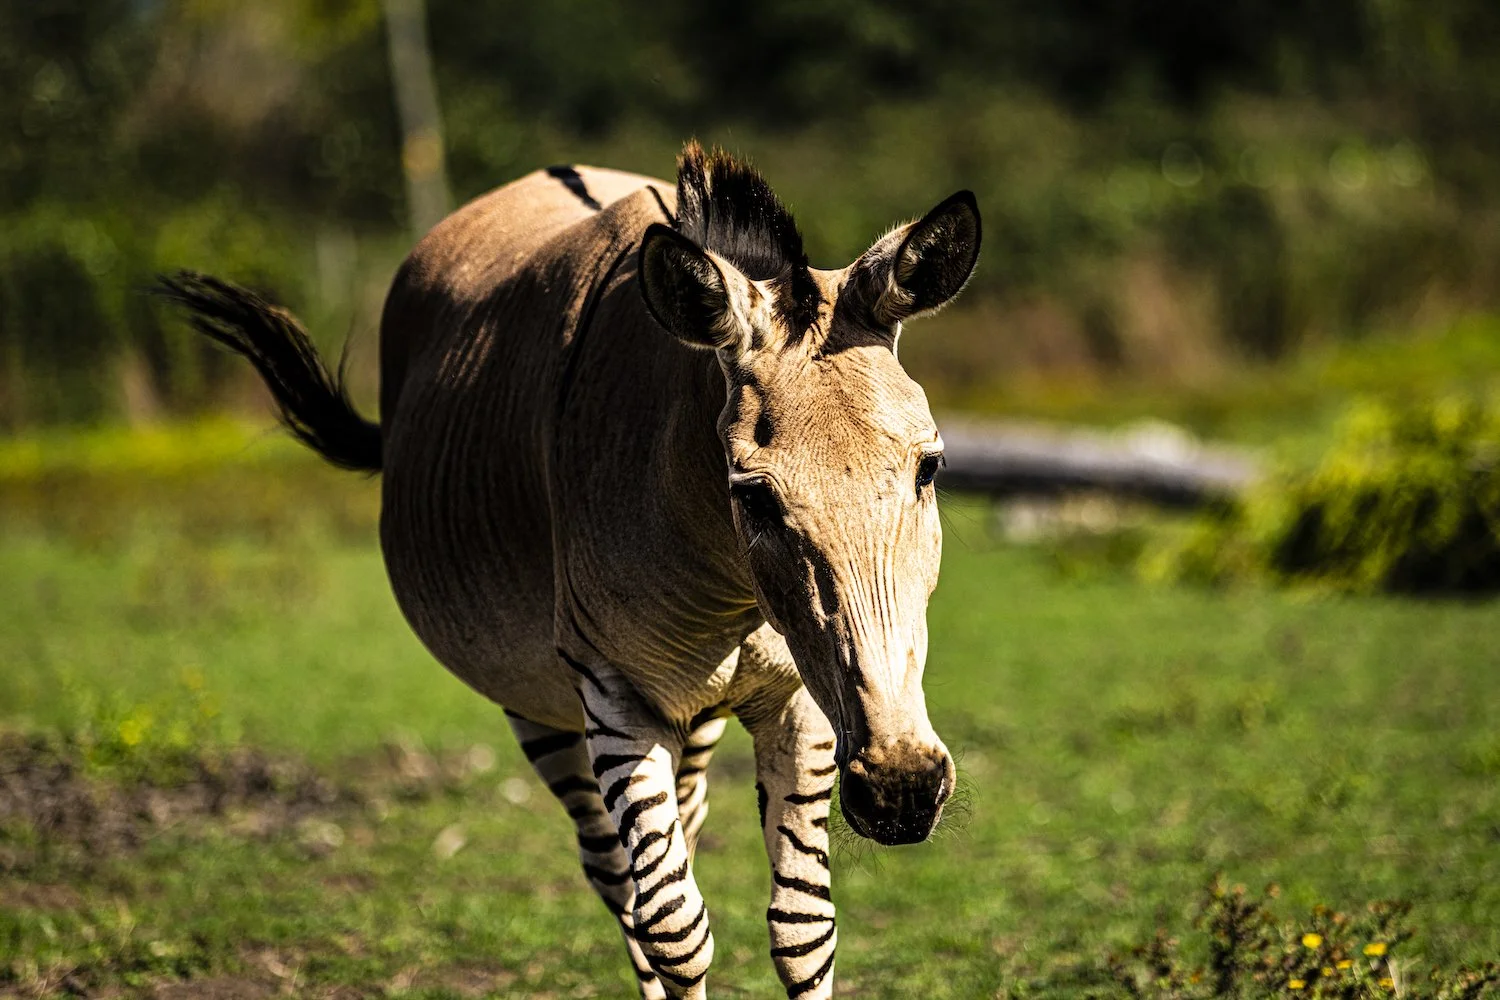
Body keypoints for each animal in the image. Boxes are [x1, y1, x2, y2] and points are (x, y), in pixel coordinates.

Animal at [159, 142, 981, 999]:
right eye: (752, 496)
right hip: (542, 702)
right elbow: (674, 930)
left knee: (681, 831)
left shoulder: (803, 699)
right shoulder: (613, 691)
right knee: (620, 879)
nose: (901, 789)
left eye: (929, 467)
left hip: (696, 713)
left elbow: (804, 932)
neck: (728, 588)